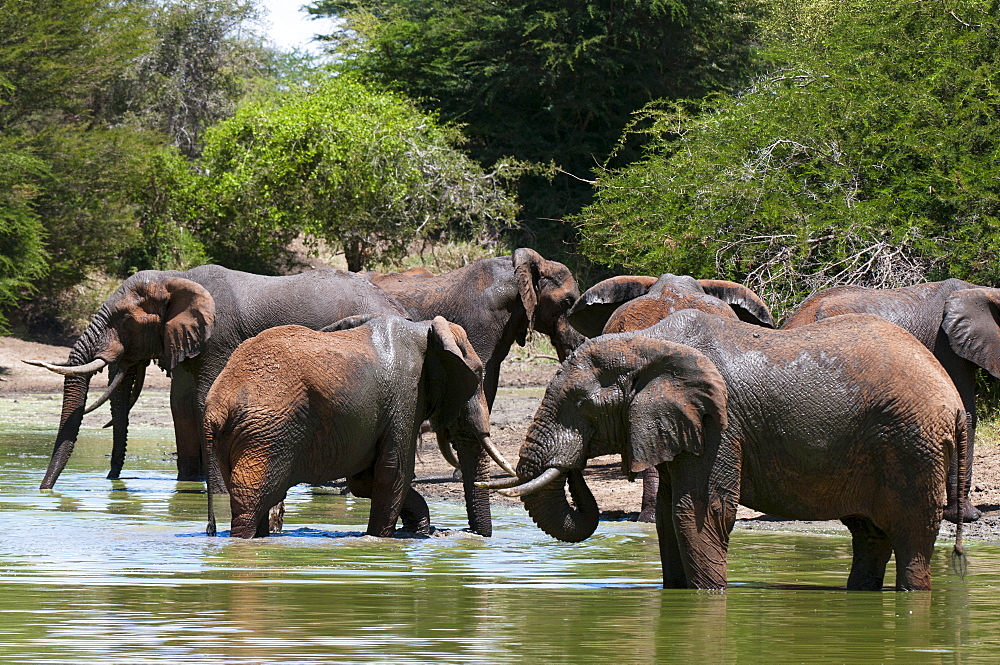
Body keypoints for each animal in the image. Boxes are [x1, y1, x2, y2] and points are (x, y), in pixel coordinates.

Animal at [27, 264, 410, 488]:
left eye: (123, 319)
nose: (45, 491)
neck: (176, 277)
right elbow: (180, 404)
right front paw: (189, 486)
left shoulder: (220, 336)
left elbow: (204, 398)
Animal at [202, 314, 504, 536]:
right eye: (477, 375)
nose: (469, 533)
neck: (424, 329)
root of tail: (216, 405)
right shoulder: (406, 394)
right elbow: (394, 474)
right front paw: (381, 540)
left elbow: (365, 479)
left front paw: (418, 531)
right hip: (268, 432)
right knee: (252, 500)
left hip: (241, 435)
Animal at [498, 308, 968, 588]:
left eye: (580, 404)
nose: (573, 467)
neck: (647, 342)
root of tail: (955, 400)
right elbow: (668, 519)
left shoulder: (719, 427)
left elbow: (698, 514)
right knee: (870, 535)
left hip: (913, 445)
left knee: (911, 536)